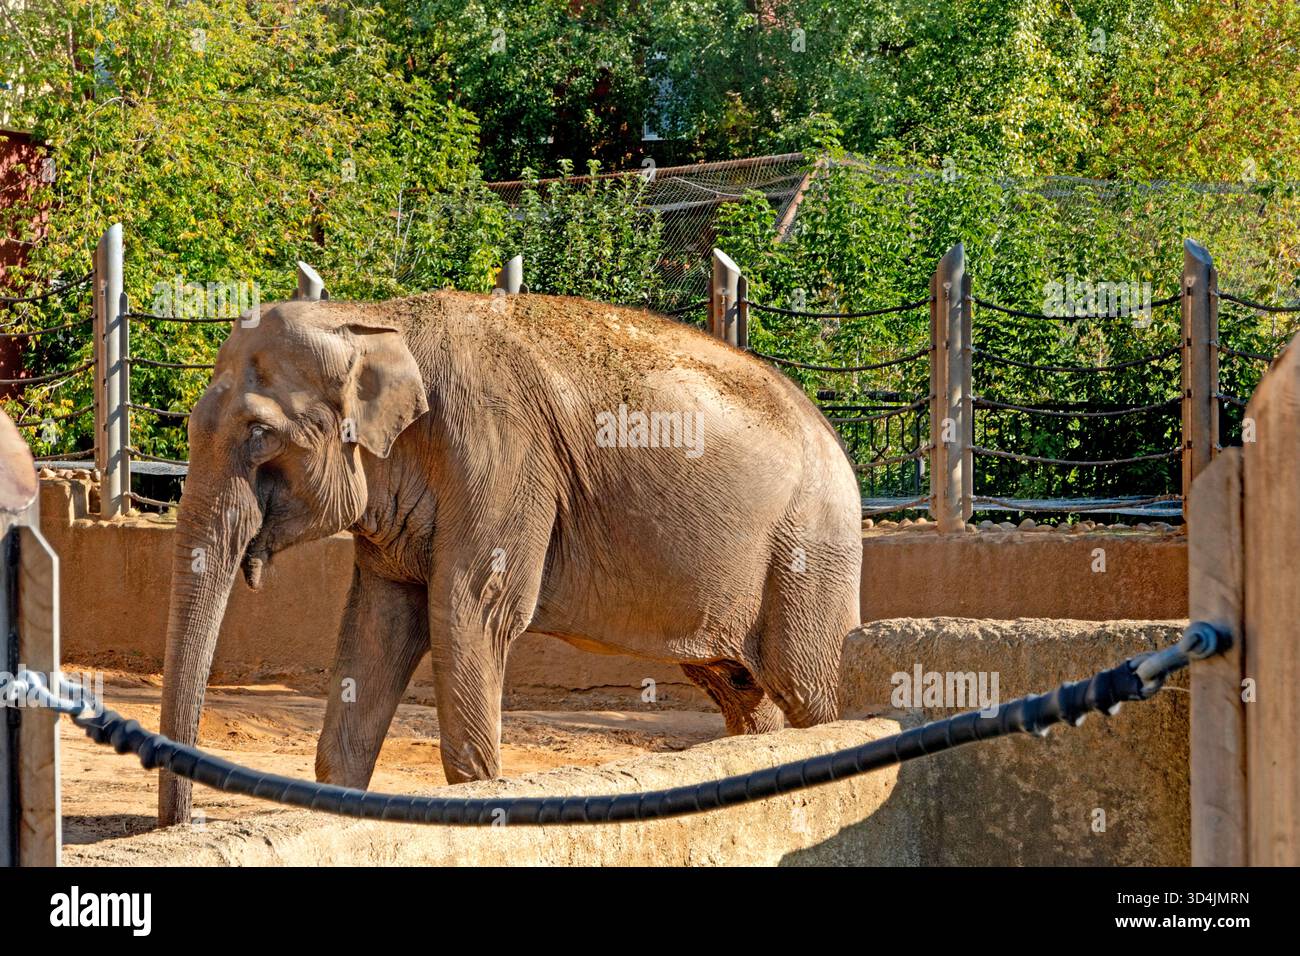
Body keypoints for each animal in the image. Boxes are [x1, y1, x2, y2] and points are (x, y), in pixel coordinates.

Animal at [157, 291, 863, 826]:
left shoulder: (501, 455)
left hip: (810, 547)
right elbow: (379, 623)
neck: (374, 317)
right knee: (740, 687)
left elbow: (474, 610)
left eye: (259, 435)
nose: (183, 822)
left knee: (808, 687)